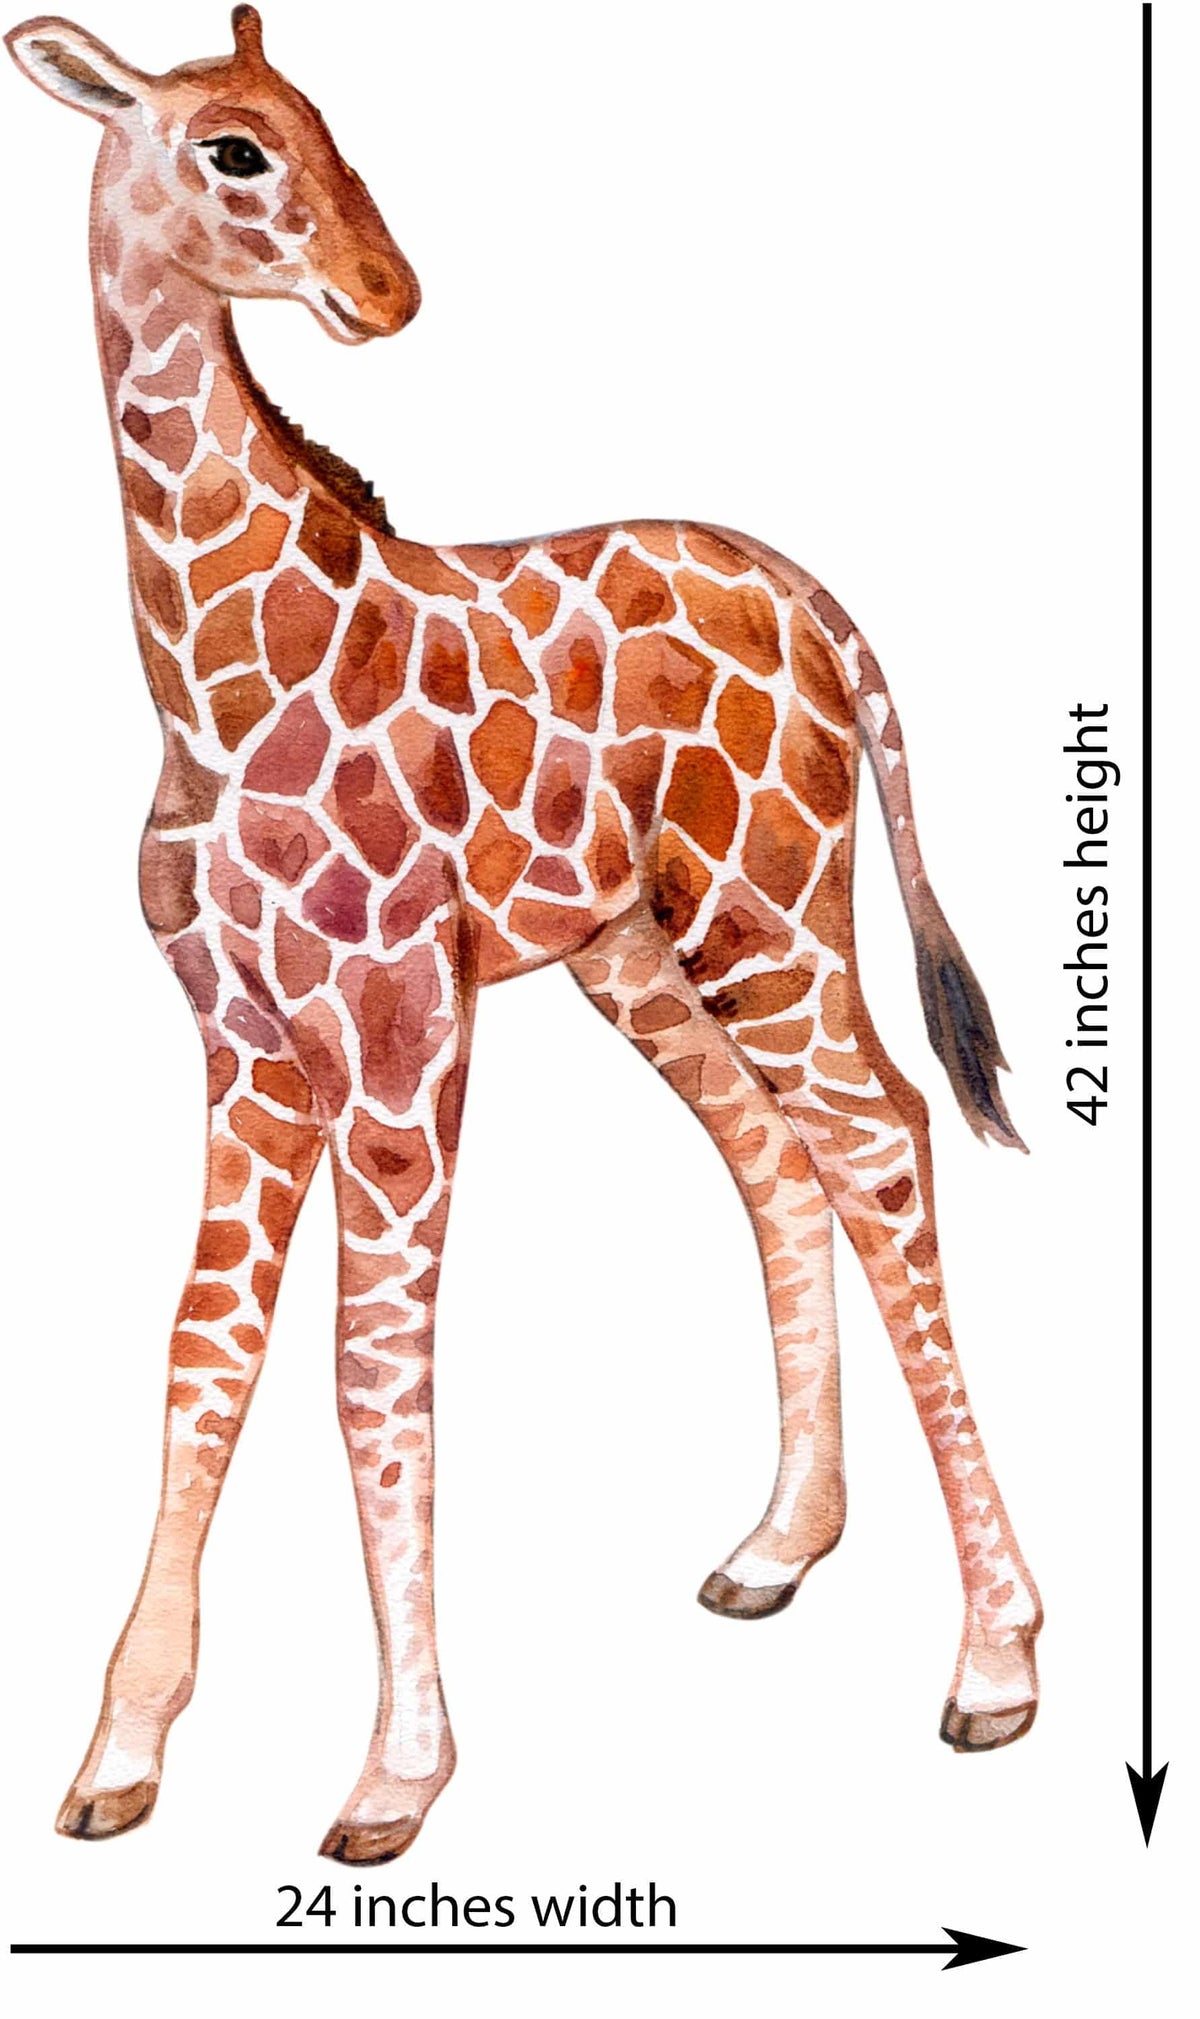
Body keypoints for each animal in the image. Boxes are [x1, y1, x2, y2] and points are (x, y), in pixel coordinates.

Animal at [7, 7, 1042, 1866]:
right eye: (235, 146)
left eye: (324, 120)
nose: (384, 290)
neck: (211, 685)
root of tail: (817, 604)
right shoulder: (244, 1041)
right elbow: (201, 1356)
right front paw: (119, 1752)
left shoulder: (397, 1021)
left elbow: (372, 1372)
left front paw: (394, 1774)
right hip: (641, 944)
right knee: (776, 1152)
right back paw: (775, 1548)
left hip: (767, 900)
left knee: (881, 1134)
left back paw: (997, 1660)